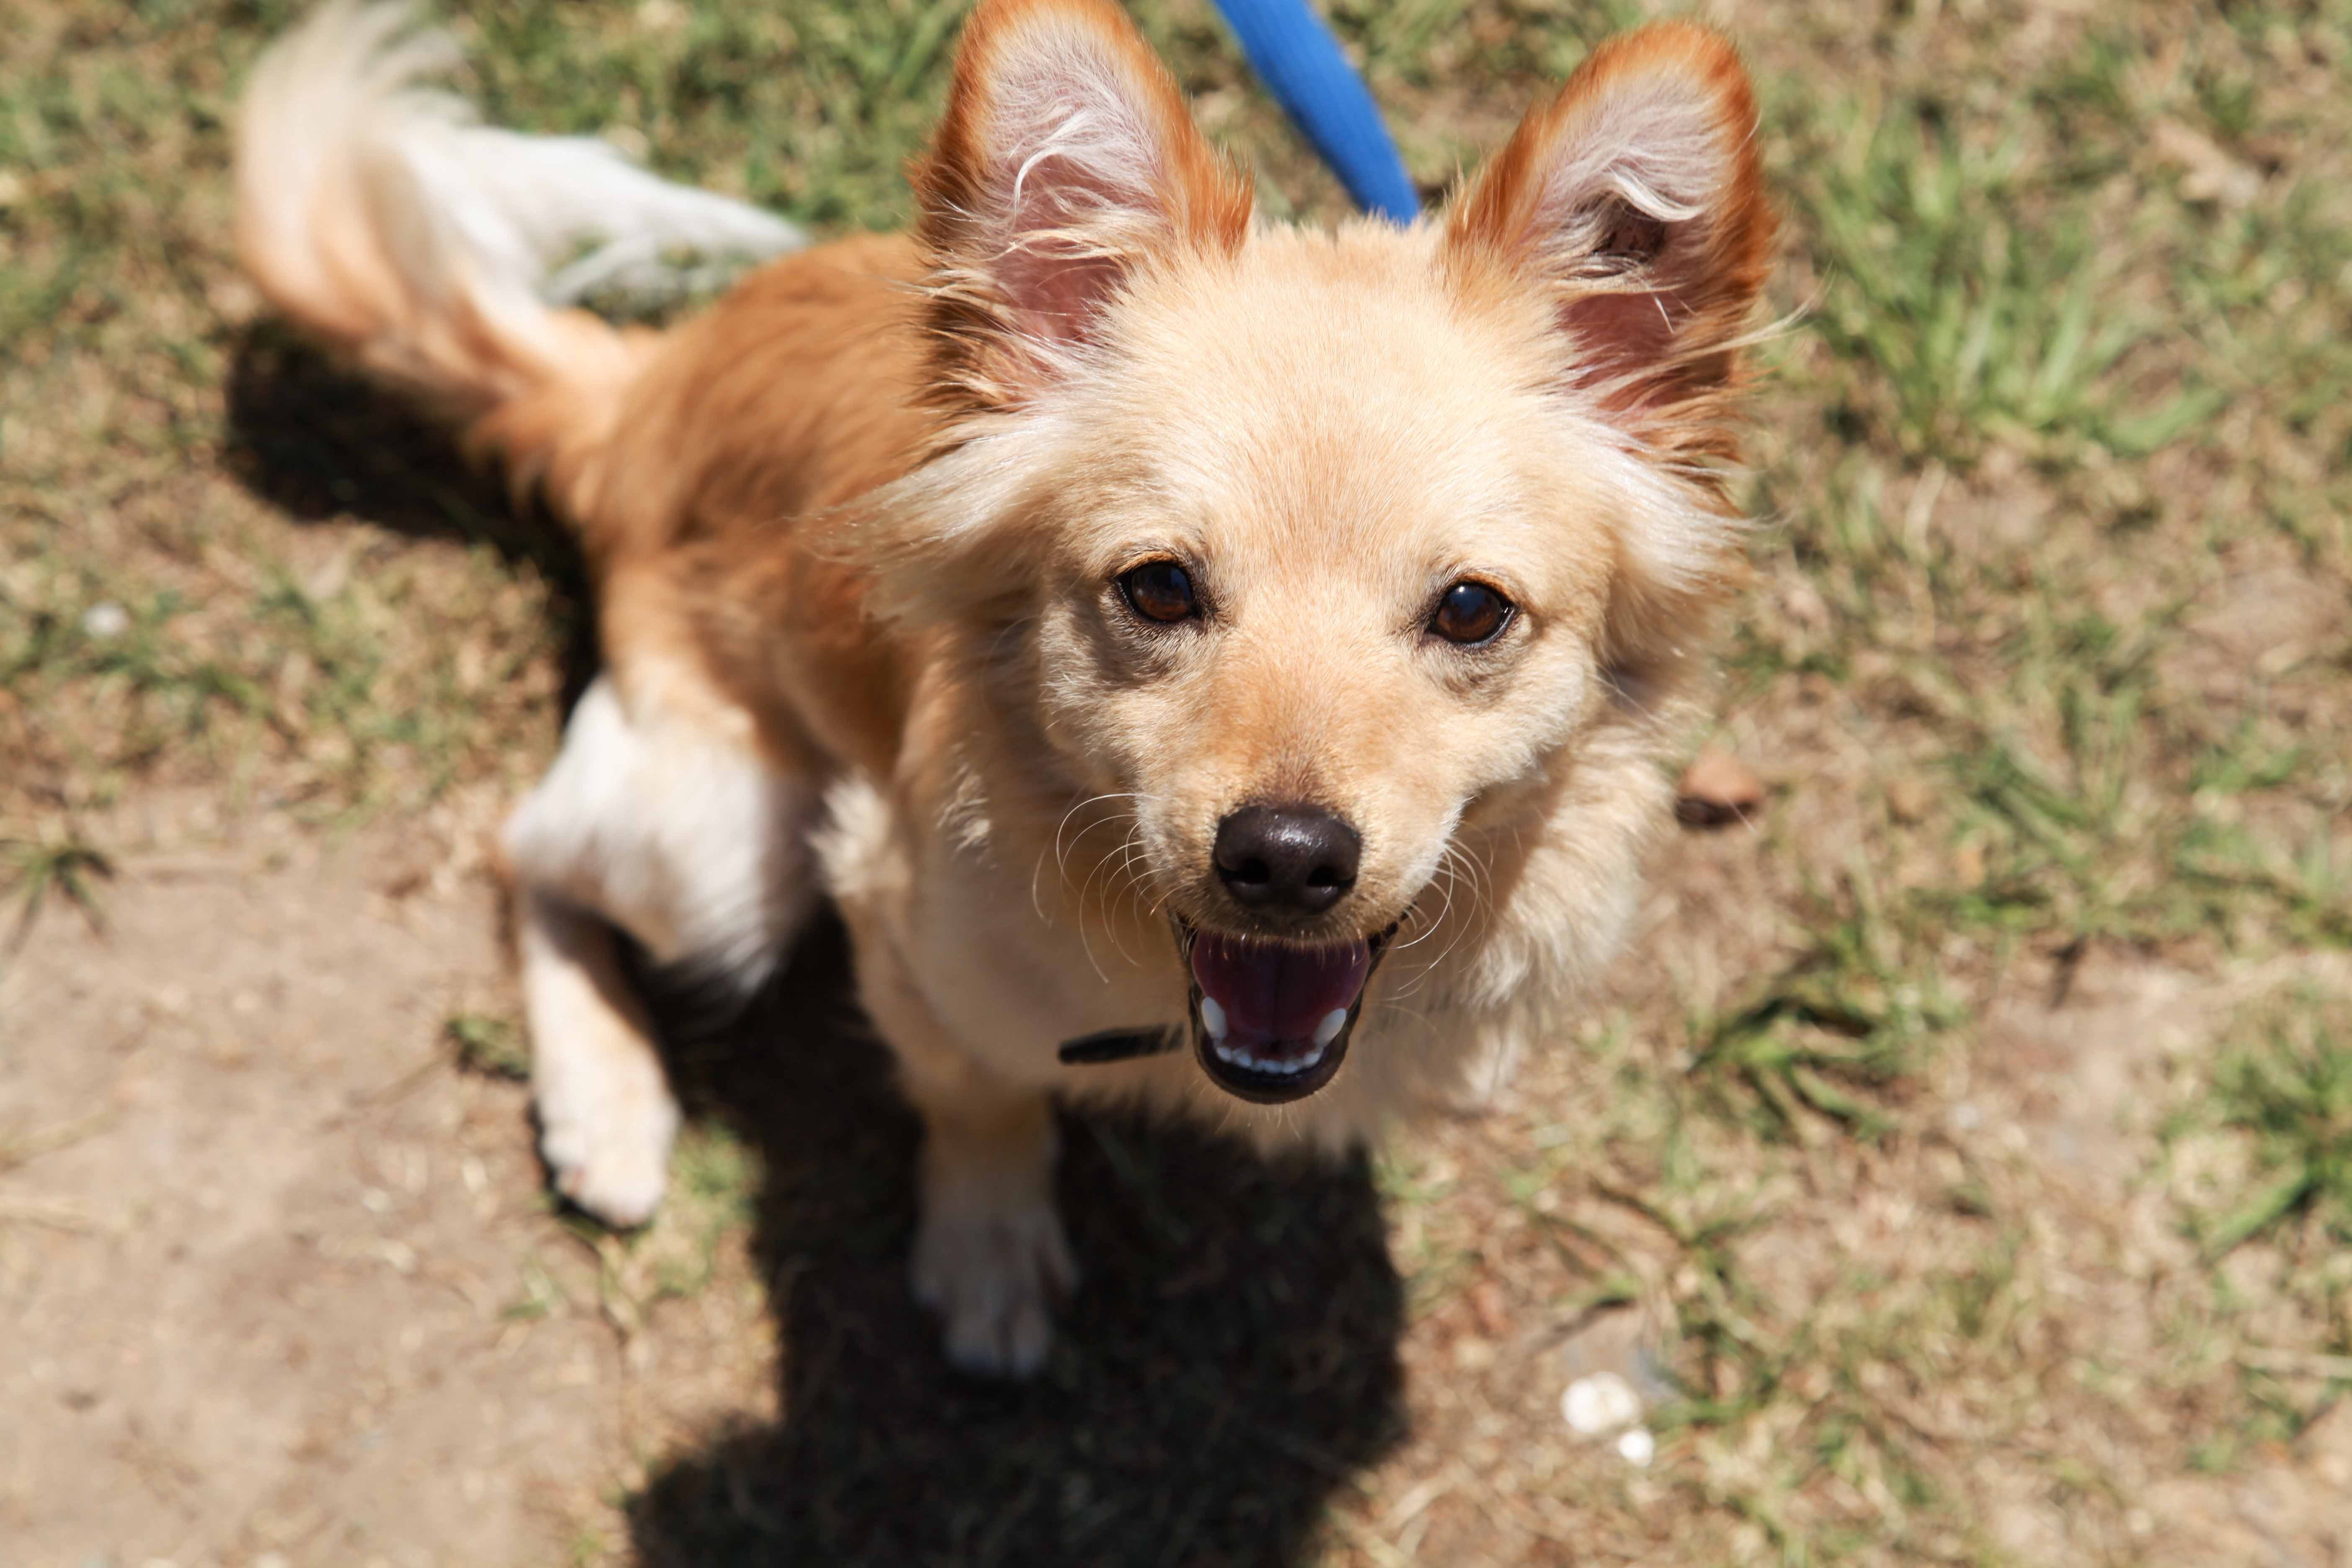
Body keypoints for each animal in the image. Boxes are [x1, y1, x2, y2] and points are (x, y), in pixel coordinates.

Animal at [237, 0, 1773, 1375]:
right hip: (717, 847)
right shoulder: (895, 919)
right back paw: (606, 1102)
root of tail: (648, 393)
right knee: (526, 853)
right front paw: (986, 1252)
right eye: (1157, 588)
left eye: (1469, 611)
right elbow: (977, 1098)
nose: (1284, 859)